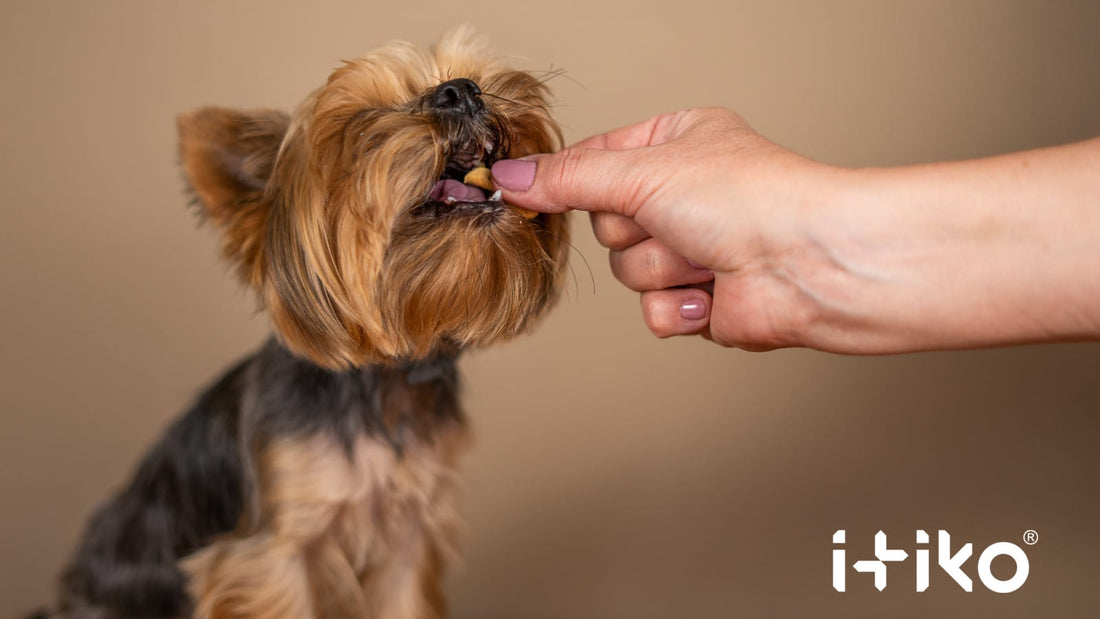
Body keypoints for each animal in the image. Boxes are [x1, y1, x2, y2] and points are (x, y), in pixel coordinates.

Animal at [45, 29, 567, 619]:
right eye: (360, 127)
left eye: (471, 77)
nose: (460, 90)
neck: (381, 383)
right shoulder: (272, 555)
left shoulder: (407, 538)